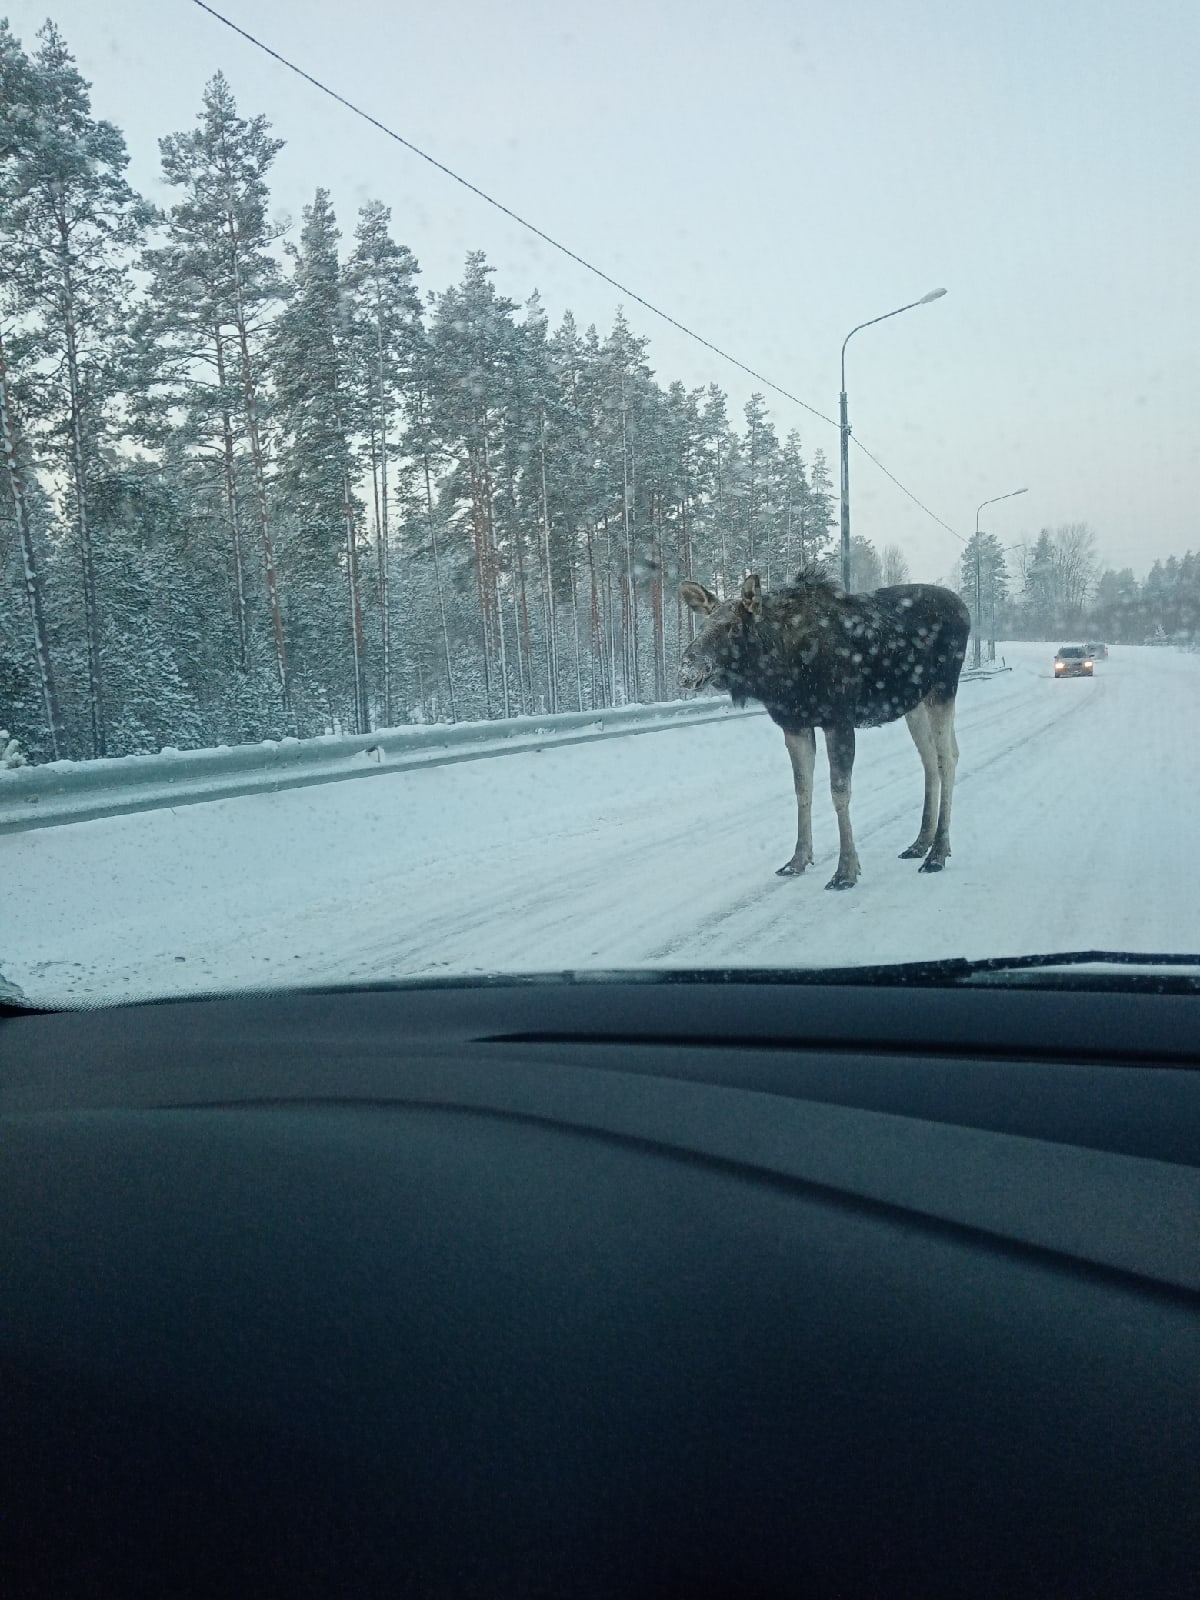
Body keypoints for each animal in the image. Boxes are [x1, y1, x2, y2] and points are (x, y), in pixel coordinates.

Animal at [681, 569, 972, 889]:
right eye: (703, 624)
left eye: (733, 627)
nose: (687, 669)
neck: (779, 673)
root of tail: (965, 609)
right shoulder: (794, 725)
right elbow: (802, 788)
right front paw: (797, 860)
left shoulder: (839, 720)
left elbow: (839, 791)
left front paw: (845, 870)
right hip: (914, 703)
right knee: (930, 760)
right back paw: (920, 843)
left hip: (943, 689)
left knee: (948, 759)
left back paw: (938, 852)